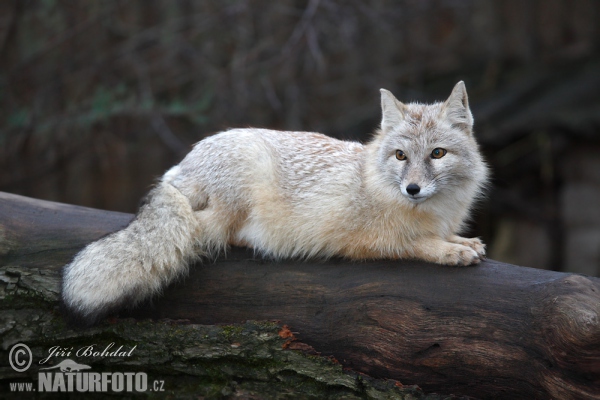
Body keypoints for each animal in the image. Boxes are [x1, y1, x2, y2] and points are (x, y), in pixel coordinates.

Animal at [63, 80, 490, 324]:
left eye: (437, 154)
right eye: (401, 156)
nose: (412, 189)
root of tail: (180, 167)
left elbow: (443, 235)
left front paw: (460, 241)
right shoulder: (366, 239)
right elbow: (413, 242)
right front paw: (447, 250)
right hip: (237, 187)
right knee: (205, 234)